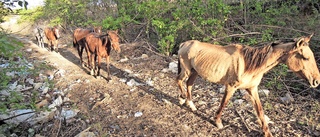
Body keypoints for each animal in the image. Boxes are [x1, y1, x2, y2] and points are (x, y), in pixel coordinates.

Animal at [176, 34, 318, 137]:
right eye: (305, 57)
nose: (316, 81)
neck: (250, 64)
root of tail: (184, 44)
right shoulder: (231, 87)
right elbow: (223, 104)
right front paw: (218, 122)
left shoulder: (252, 89)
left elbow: (260, 111)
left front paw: (267, 132)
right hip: (186, 70)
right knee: (179, 81)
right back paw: (182, 98)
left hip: (195, 72)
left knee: (188, 84)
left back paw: (191, 104)